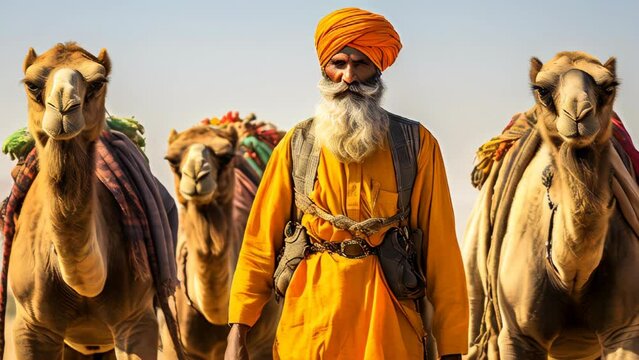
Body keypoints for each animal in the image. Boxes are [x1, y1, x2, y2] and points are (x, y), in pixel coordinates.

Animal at [464, 50, 639, 360]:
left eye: (609, 87)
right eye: (541, 89)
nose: (578, 114)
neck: (571, 274)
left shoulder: (625, 328)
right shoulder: (517, 335)